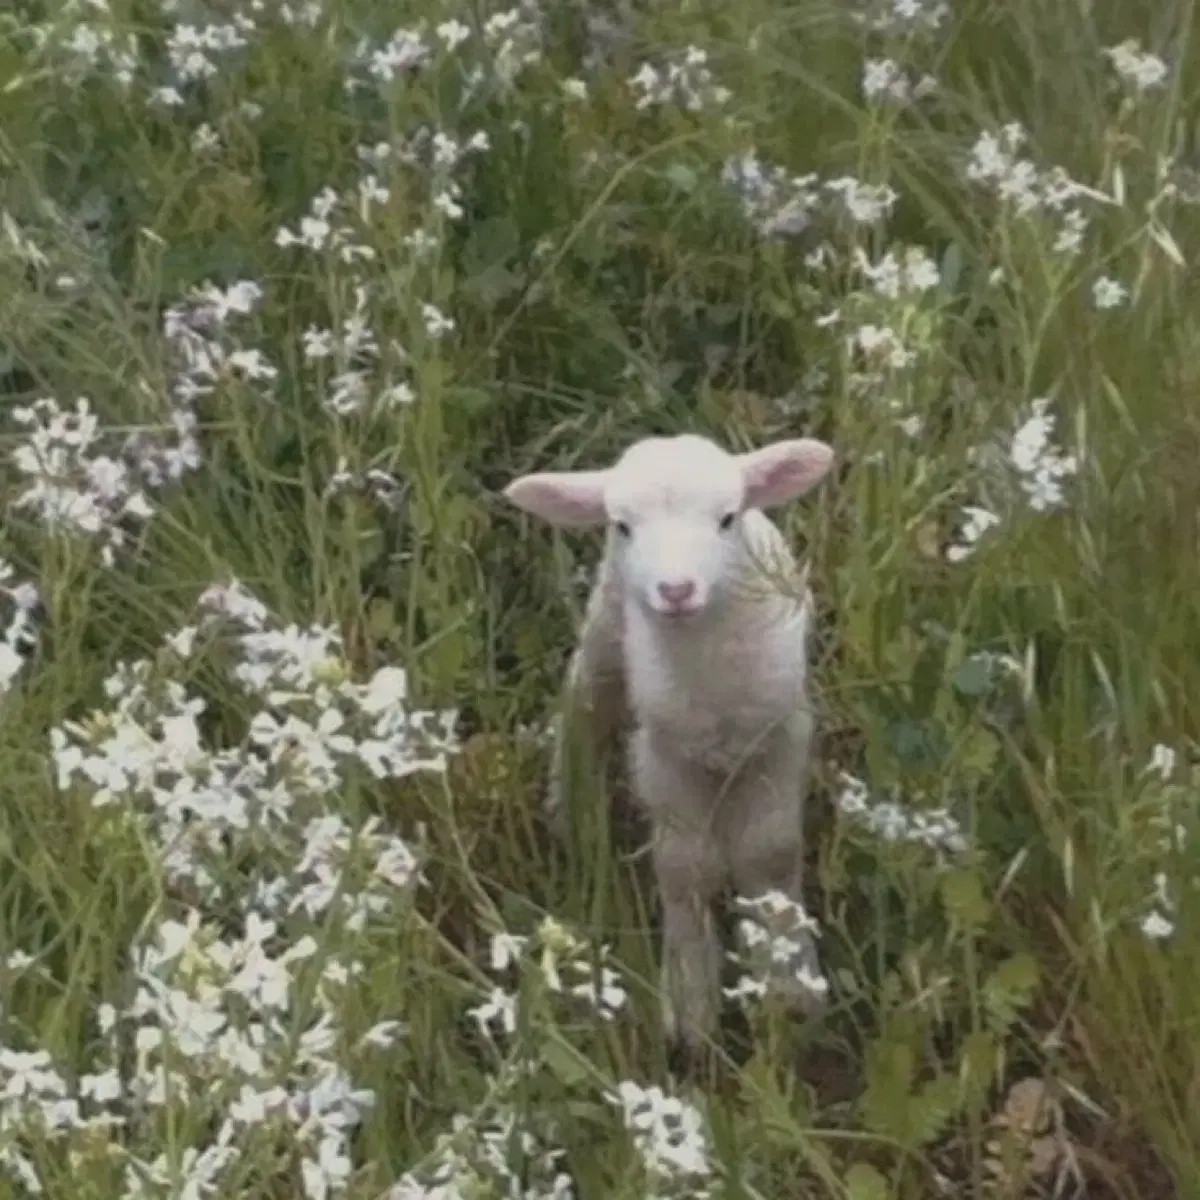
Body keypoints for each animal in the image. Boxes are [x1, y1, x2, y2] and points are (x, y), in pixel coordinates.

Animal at [504, 432, 835, 1051]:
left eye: (726, 518)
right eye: (622, 525)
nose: (676, 590)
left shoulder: (782, 738)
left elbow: (770, 852)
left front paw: (788, 981)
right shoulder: (662, 755)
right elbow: (685, 868)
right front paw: (691, 997)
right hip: (609, 633)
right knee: (584, 704)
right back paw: (570, 808)